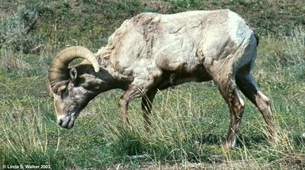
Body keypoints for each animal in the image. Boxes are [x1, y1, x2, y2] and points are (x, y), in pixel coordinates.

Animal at [47, 9, 276, 148]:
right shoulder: (151, 90)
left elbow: (122, 102)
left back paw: (228, 145)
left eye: (64, 90)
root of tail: (247, 30)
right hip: (243, 76)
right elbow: (146, 112)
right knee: (263, 102)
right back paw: (273, 140)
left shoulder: (144, 81)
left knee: (237, 105)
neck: (122, 47)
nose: (61, 121)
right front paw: (147, 137)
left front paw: (129, 134)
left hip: (223, 75)